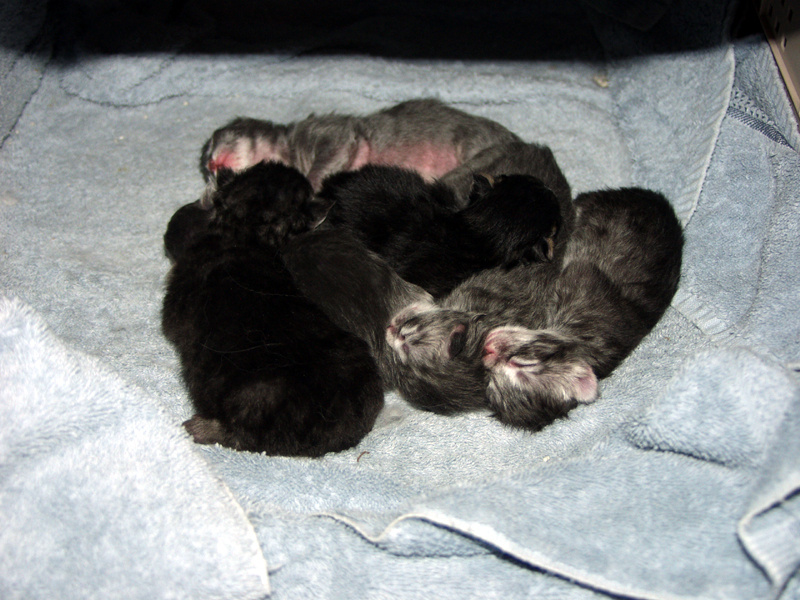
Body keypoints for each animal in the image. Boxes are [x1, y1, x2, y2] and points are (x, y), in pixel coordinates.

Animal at [199, 98, 521, 203]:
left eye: (215, 141)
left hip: (472, 142)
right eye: (206, 171)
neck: (288, 149)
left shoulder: (333, 133)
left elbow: (331, 153)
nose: (211, 164)